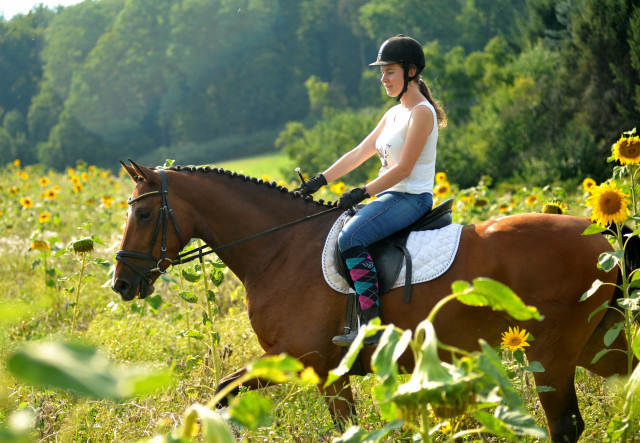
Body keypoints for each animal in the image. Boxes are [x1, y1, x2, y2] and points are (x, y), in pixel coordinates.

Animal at [111, 161, 636, 442]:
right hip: (598, 345)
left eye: (143, 214)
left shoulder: (310, 361)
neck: (279, 248)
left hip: (551, 353)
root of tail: (598, 233)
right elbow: (228, 389)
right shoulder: (307, 366)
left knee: (564, 425)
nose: (120, 283)